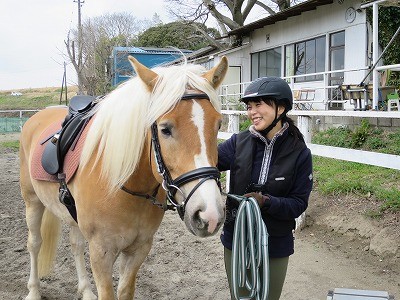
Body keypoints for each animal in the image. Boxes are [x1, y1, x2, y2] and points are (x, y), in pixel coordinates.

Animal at [19, 55, 228, 298]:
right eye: (165, 129)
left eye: (218, 125)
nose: (209, 215)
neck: (122, 185)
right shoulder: (101, 252)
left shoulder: (139, 248)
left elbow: (125, 290)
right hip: (32, 201)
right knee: (34, 243)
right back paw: (34, 291)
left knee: (75, 245)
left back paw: (86, 290)